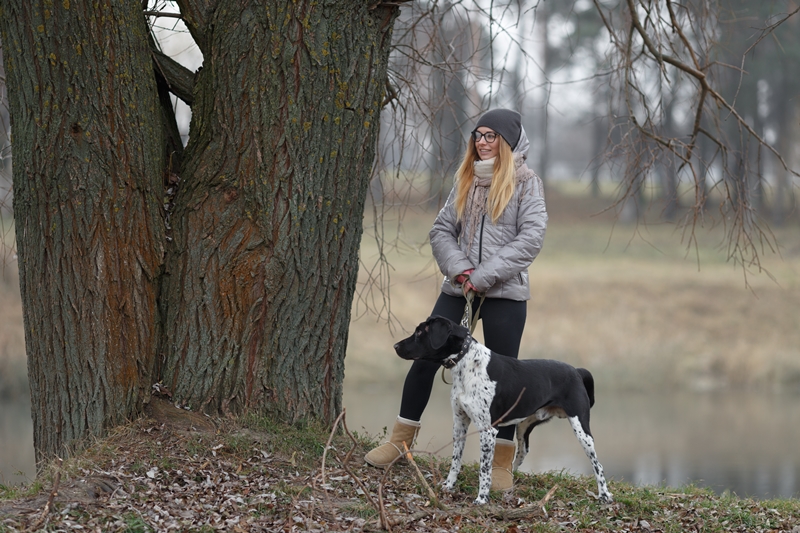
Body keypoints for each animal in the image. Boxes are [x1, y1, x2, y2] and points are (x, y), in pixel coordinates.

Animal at [394, 314, 612, 504]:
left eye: (420, 332)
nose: (395, 345)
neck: (468, 365)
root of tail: (576, 370)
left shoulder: (487, 430)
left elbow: (484, 470)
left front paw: (482, 499)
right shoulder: (459, 422)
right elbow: (456, 460)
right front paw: (449, 485)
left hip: (581, 428)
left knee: (598, 464)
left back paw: (604, 495)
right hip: (524, 426)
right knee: (523, 452)